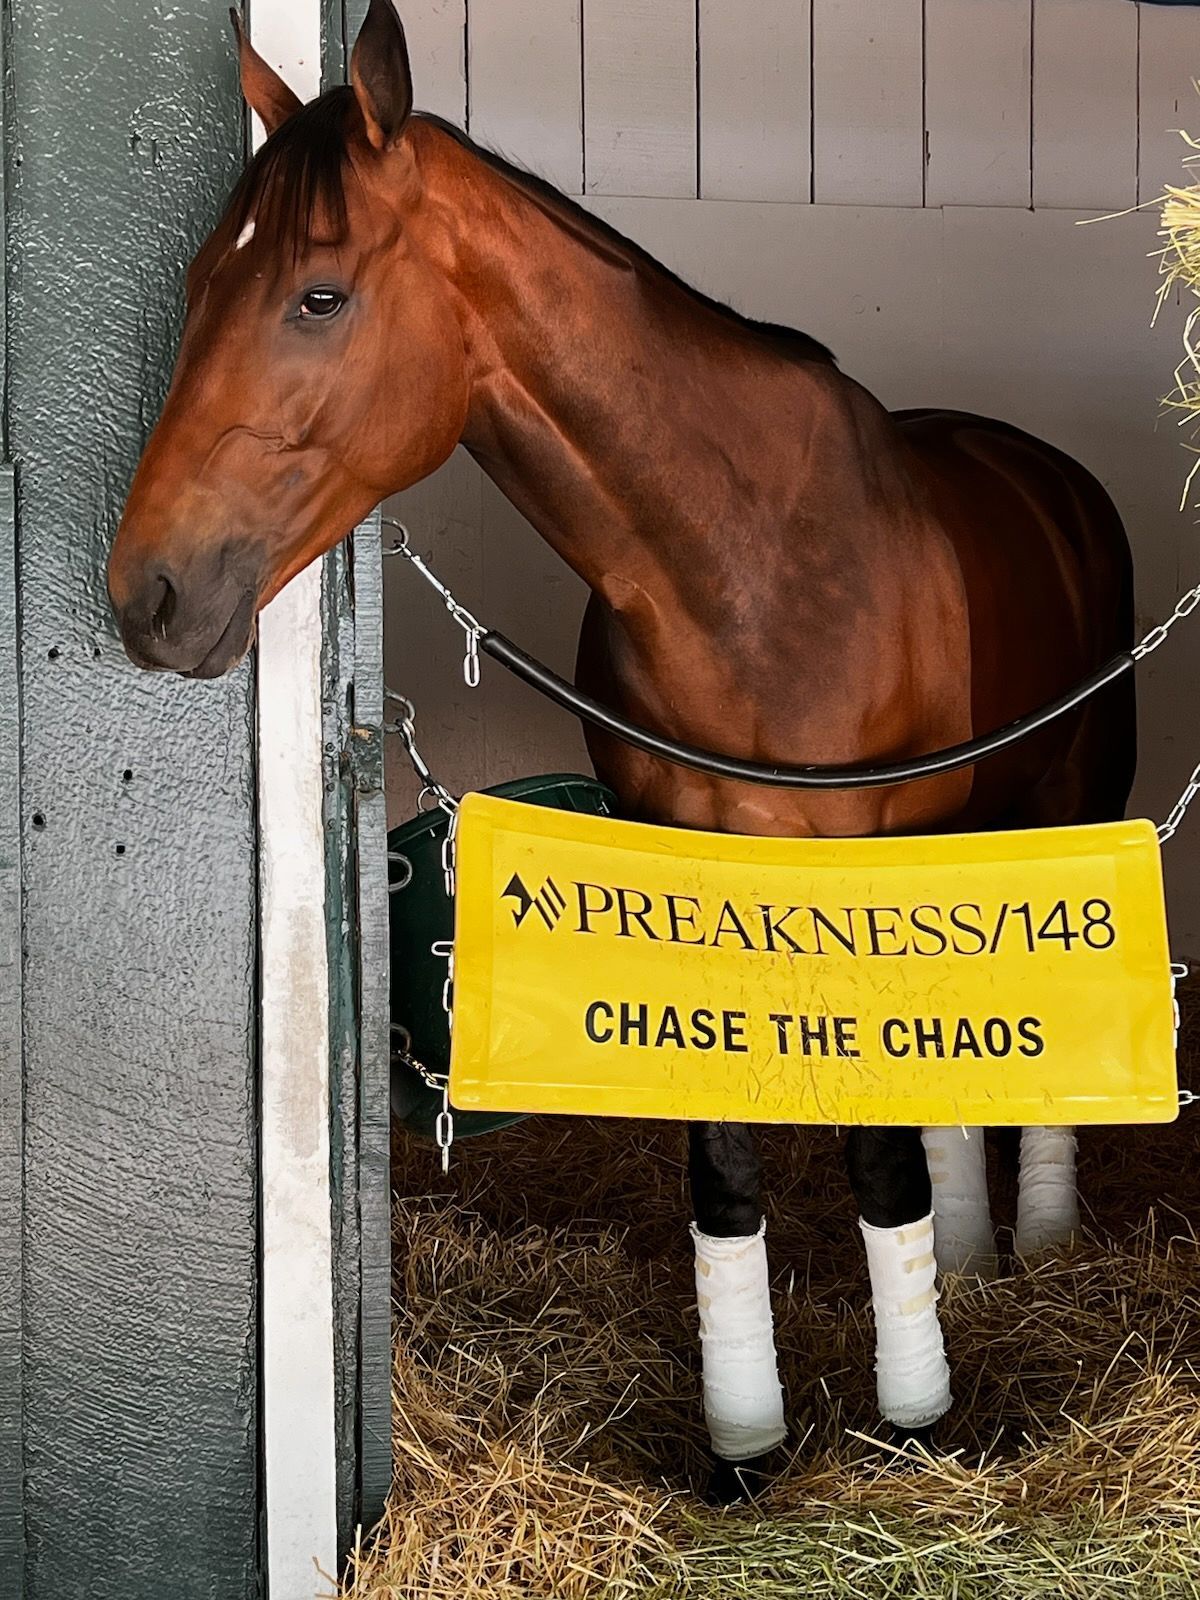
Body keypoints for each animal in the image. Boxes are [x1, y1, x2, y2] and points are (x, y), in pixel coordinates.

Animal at [107, 0, 1136, 1501]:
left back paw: (1039, 1247)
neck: (745, 567)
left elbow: (877, 1148)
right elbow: (724, 1166)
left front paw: (914, 1424)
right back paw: (967, 1258)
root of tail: (1049, 475)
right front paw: (748, 1446)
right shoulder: (691, 866)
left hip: (1061, 805)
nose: (149, 594)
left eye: (318, 297)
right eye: (196, 285)